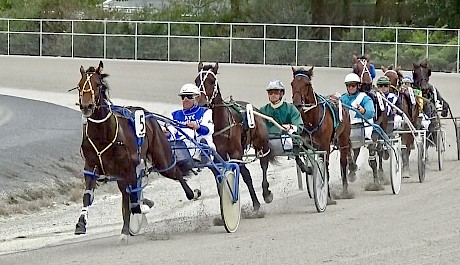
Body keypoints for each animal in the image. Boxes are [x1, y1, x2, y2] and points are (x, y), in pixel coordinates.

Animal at [75, 60, 199, 238]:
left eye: (98, 85)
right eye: (79, 85)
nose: (86, 106)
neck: (103, 134)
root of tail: (148, 114)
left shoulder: (130, 168)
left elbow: (134, 199)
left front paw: (142, 207)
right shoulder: (91, 166)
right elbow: (88, 196)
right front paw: (81, 223)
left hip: (161, 159)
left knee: (175, 172)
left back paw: (192, 193)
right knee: (127, 193)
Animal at [193, 62, 274, 210]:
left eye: (212, 81)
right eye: (196, 81)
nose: (201, 103)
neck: (220, 126)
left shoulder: (236, 153)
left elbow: (246, 174)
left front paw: (256, 203)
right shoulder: (218, 156)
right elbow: (221, 179)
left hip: (261, 142)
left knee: (263, 163)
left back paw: (266, 192)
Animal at [292, 65, 352, 197]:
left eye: (307, 84)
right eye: (292, 83)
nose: (297, 104)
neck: (312, 120)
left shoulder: (324, 145)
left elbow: (325, 166)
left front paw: (327, 194)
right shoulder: (305, 143)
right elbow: (298, 156)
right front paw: (308, 169)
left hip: (344, 137)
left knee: (343, 161)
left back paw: (345, 190)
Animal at [352, 54, 388, 189]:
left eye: (369, 66)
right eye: (356, 68)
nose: (367, 83)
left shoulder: (372, 132)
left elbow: (373, 157)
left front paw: (376, 182)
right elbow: (355, 152)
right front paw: (351, 172)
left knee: (380, 149)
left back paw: (381, 173)